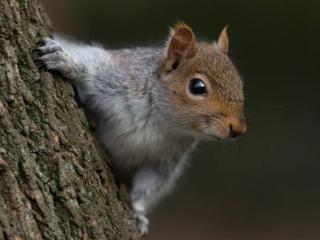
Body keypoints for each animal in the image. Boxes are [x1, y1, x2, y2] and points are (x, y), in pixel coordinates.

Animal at [37, 21, 248, 235]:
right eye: (197, 86)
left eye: (240, 83)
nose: (238, 128)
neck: (161, 120)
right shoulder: (116, 74)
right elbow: (90, 65)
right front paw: (65, 60)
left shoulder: (164, 161)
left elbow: (147, 186)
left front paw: (138, 213)